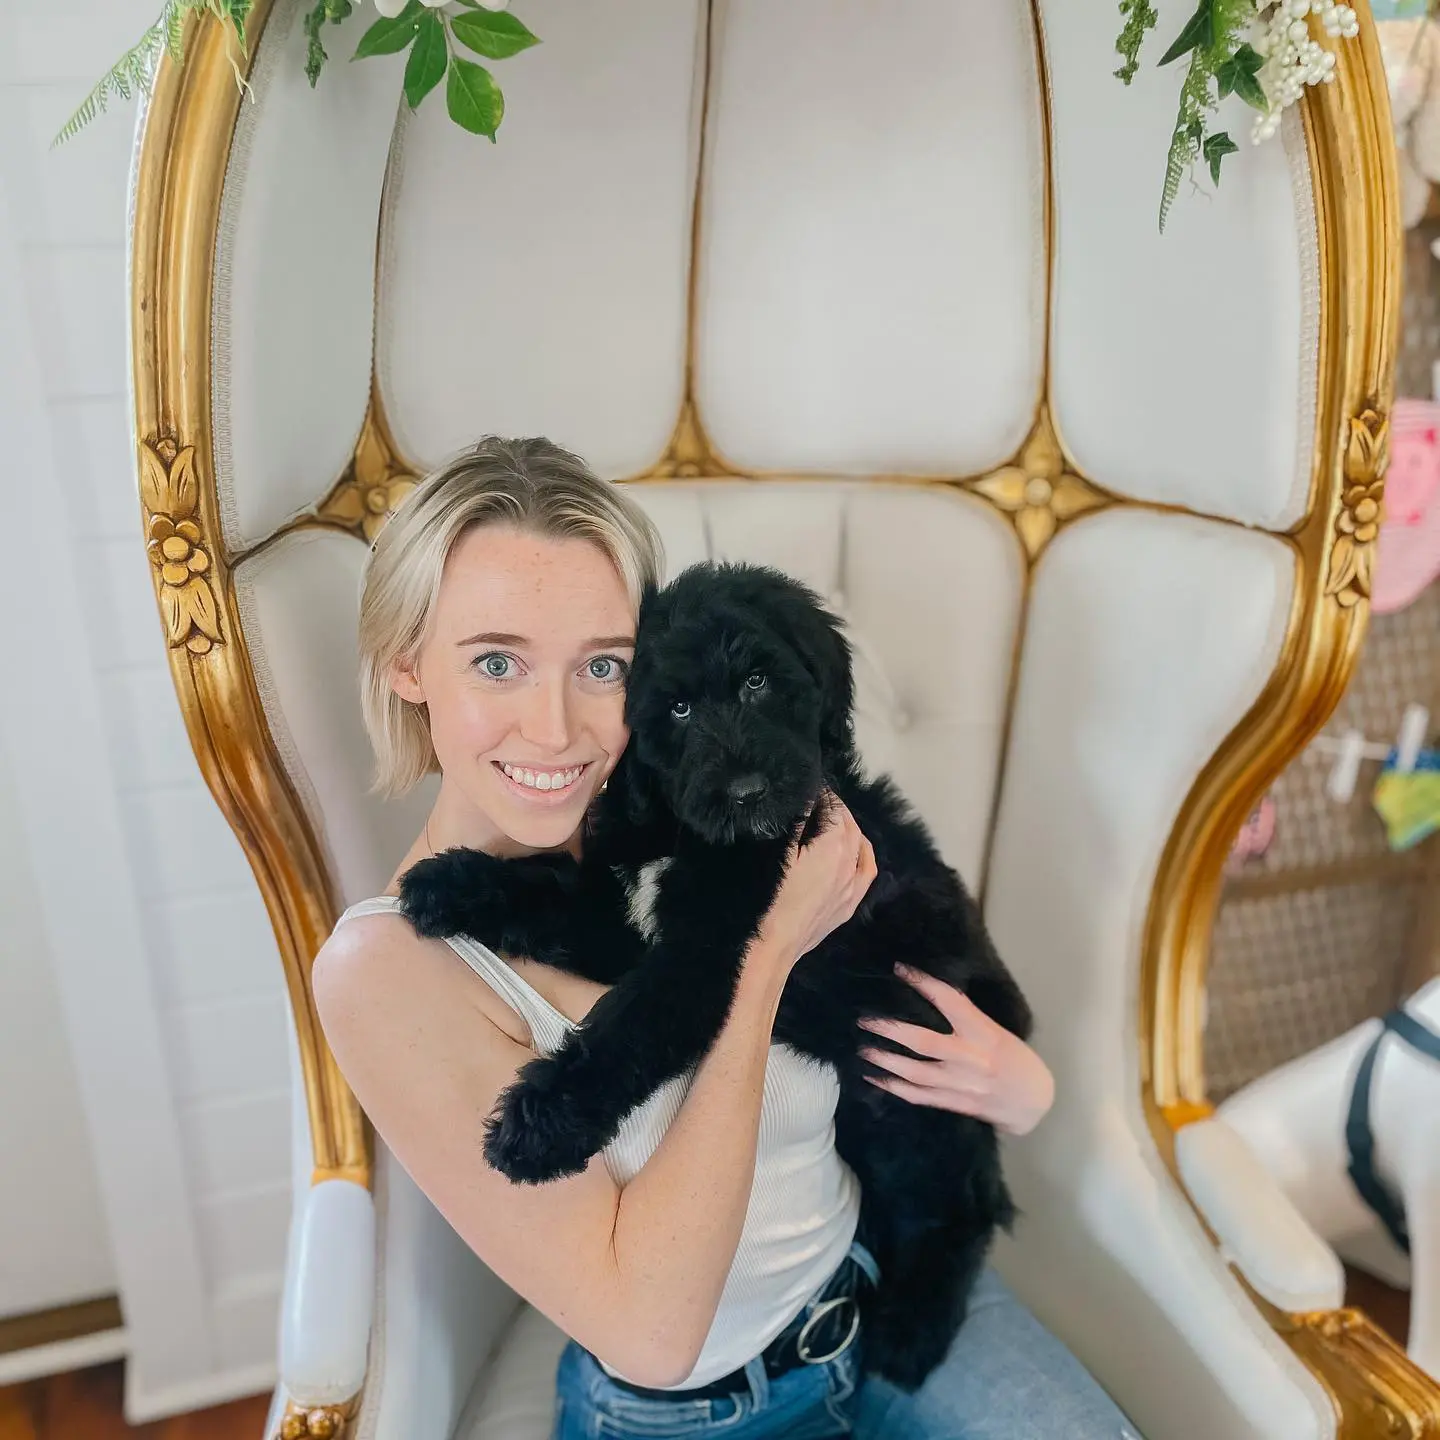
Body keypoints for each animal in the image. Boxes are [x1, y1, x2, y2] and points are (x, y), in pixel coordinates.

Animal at [403, 558, 1036, 1382]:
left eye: (759, 682)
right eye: (675, 709)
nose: (747, 793)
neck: (681, 832)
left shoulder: (699, 961)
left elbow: (624, 1035)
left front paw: (537, 1127)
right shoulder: (622, 927)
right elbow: (544, 889)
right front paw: (446, 883)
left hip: (924, 1116)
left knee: (959, 1215)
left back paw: (908, 1337)